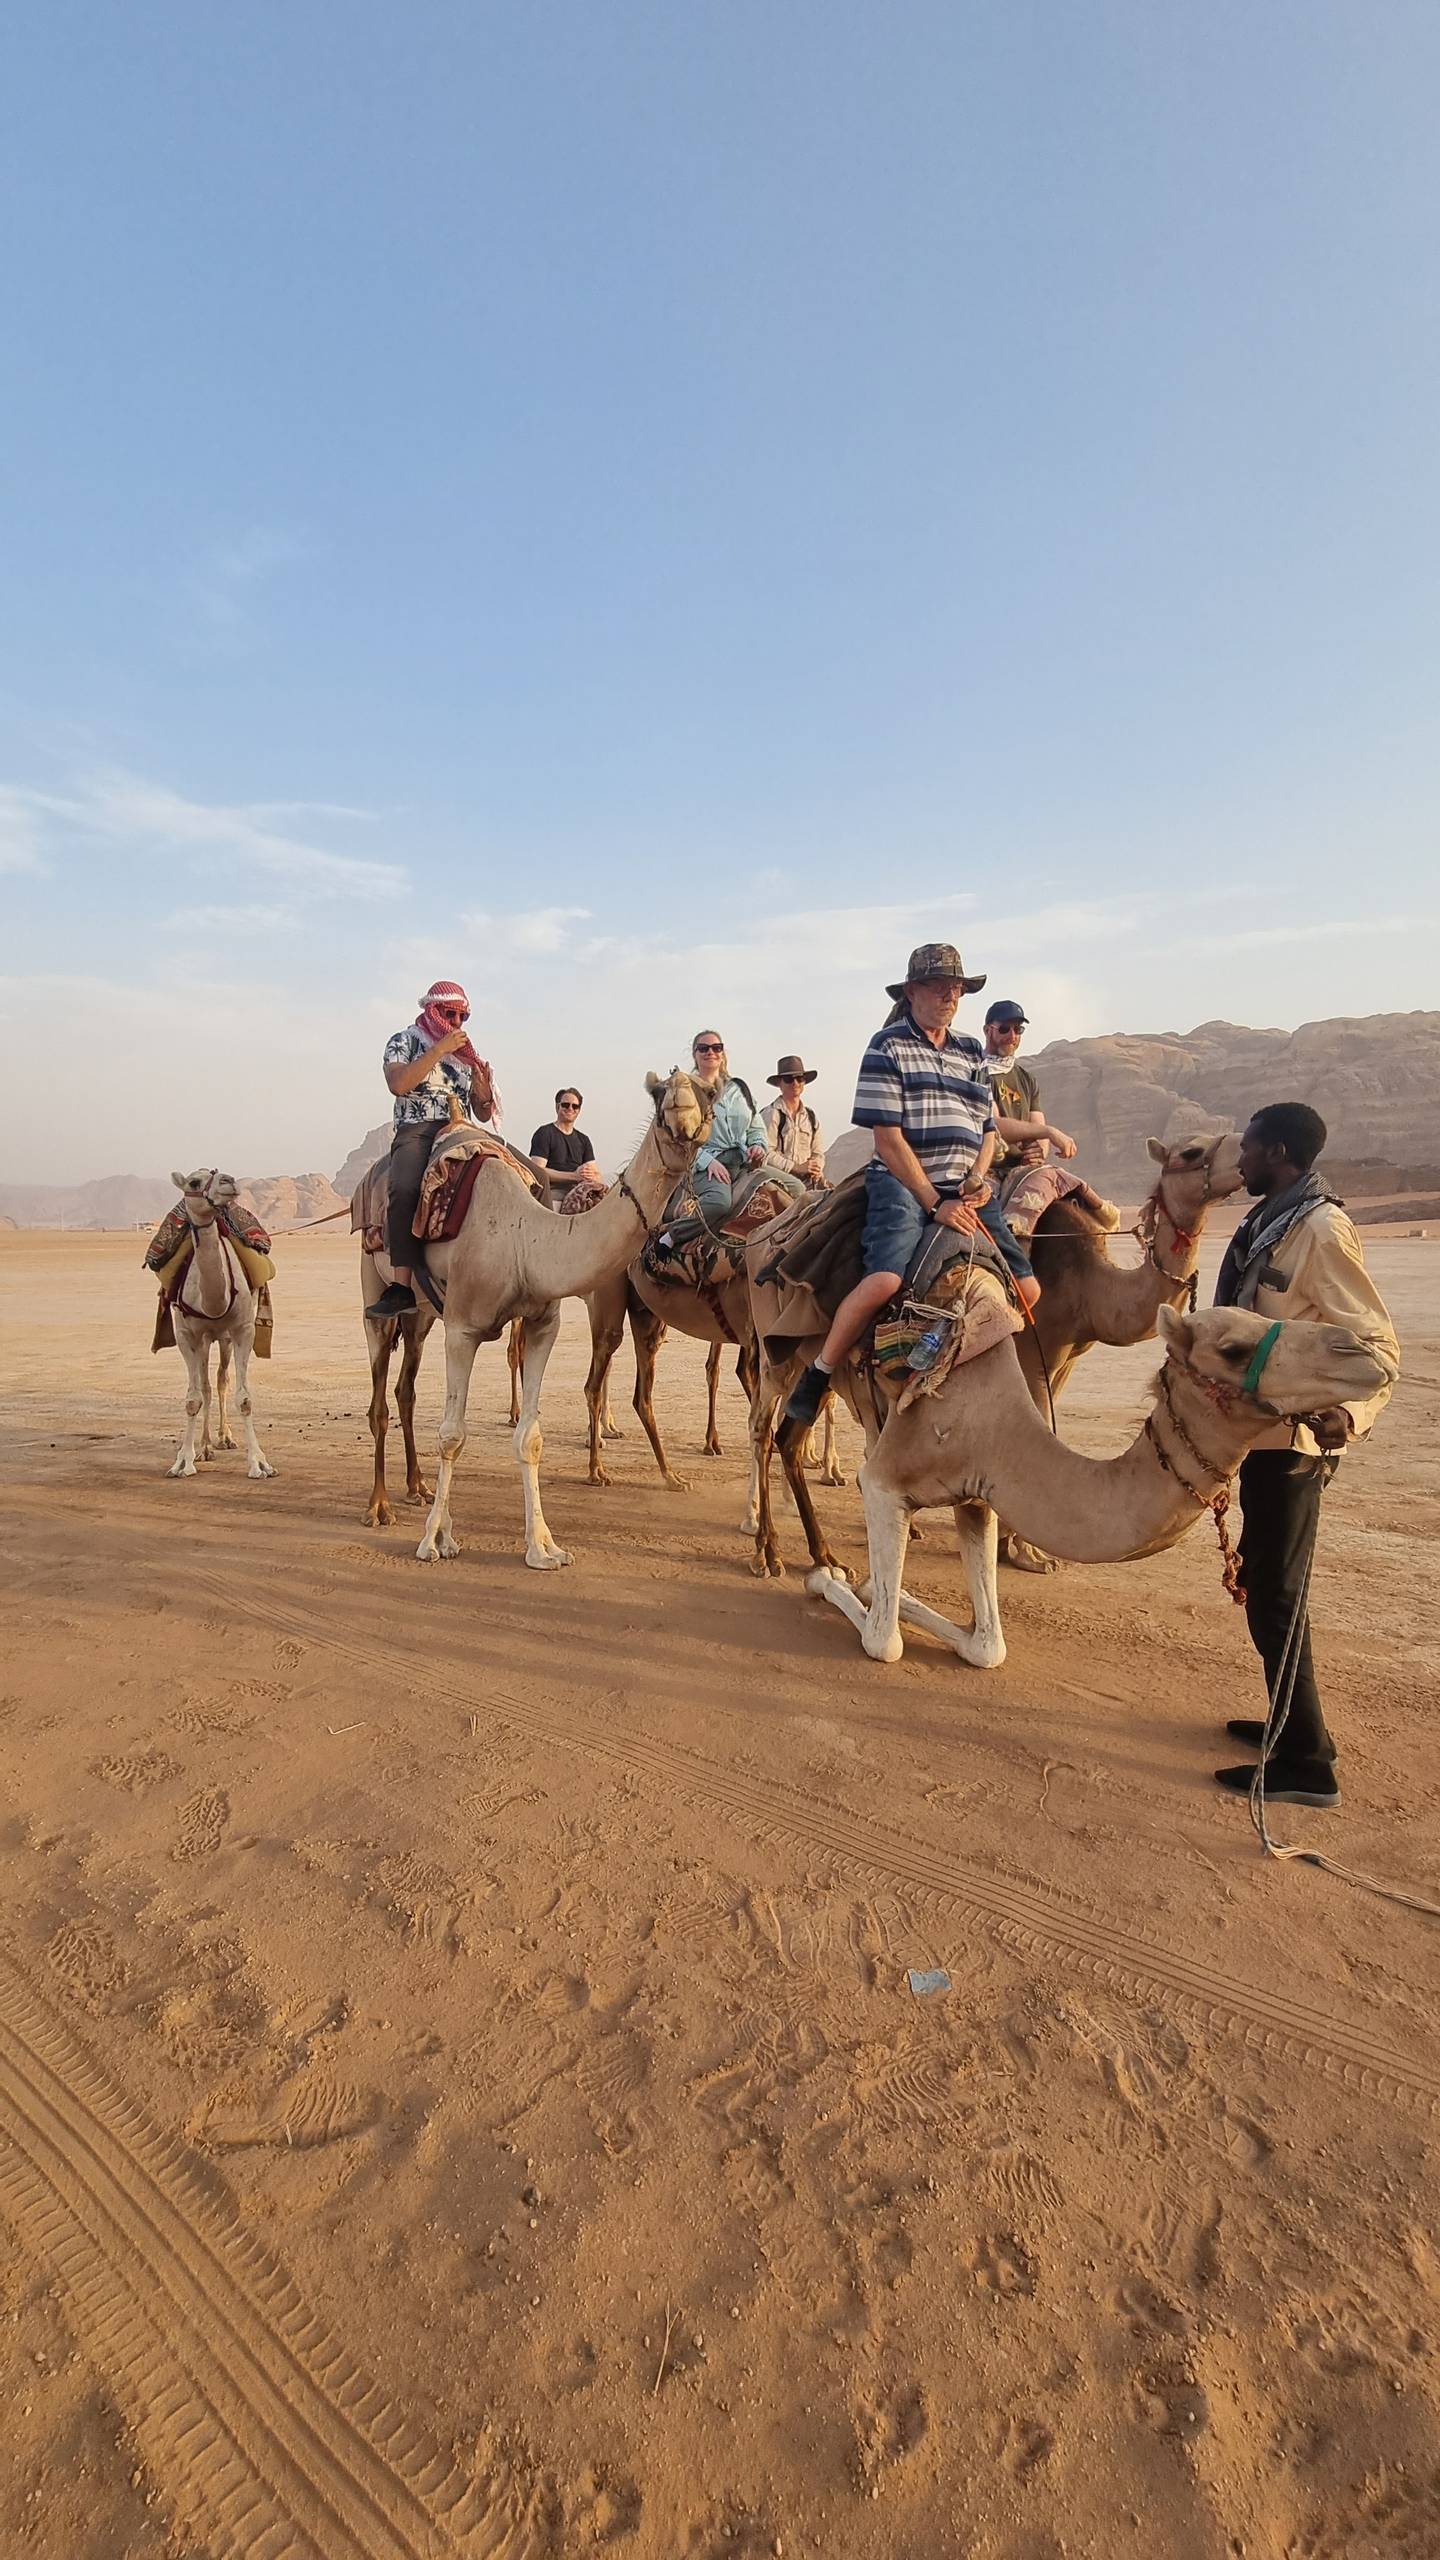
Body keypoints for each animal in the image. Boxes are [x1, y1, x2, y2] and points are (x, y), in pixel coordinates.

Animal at [164, 1172, 275, 1482]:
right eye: (193, 1181)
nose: (228, 1181)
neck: (213, 1300)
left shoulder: (242, 1330)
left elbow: (244, 1399)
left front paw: (259, 1464)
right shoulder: (185, 1335)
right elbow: (193, 1399)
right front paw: (183, 1461)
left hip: (222, 1338)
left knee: (221, 1379)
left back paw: (225, 1438)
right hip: (204, 1339)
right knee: (205, 1386)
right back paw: (204, 1447)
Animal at [415, 1070, 715, 1569]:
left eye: (711, 1091)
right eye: (659, 1098)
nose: (683, 1114)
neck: (524, 1240)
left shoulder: (544, 1323)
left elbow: (530, 1439)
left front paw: (543, 1546)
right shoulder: (461, 1327)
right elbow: (452, 1434)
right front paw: (434, 1539)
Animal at [808, 1302, 1392, 1667]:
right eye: (1233, 1349)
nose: (1361, 1350)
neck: (994, 1428)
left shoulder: (980, 1496)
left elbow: (989, 1647)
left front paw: (886, 1591)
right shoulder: (887, 1481)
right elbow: (884, 1642)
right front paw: (833, 1581)